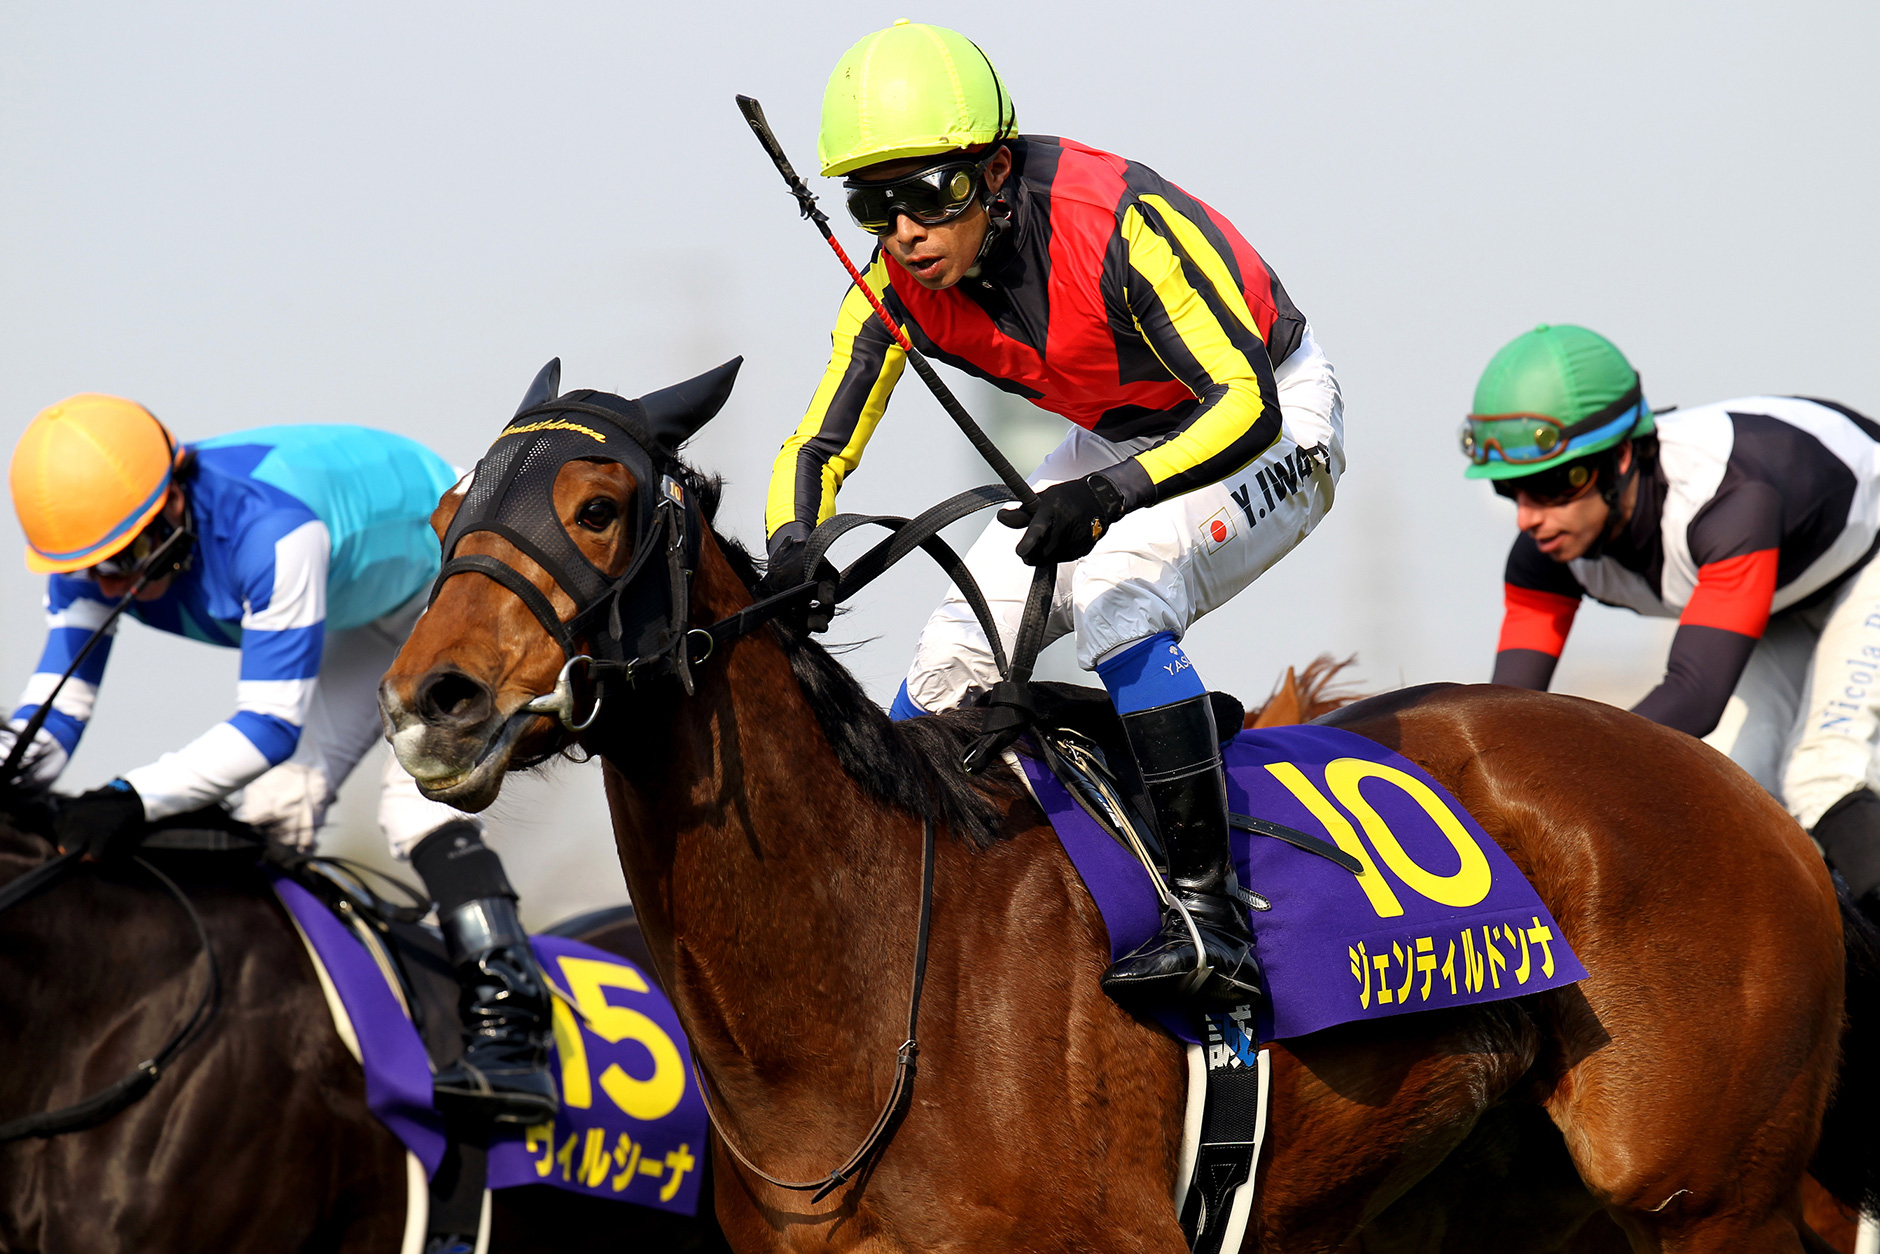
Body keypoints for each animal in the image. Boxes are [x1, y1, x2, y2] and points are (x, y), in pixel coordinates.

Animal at [380, 376, 1880, 1253]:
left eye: (597, 505)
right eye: (448, 514)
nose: (431, 700)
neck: (866, 967)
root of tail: (1755, 812)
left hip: (1708, 1198)